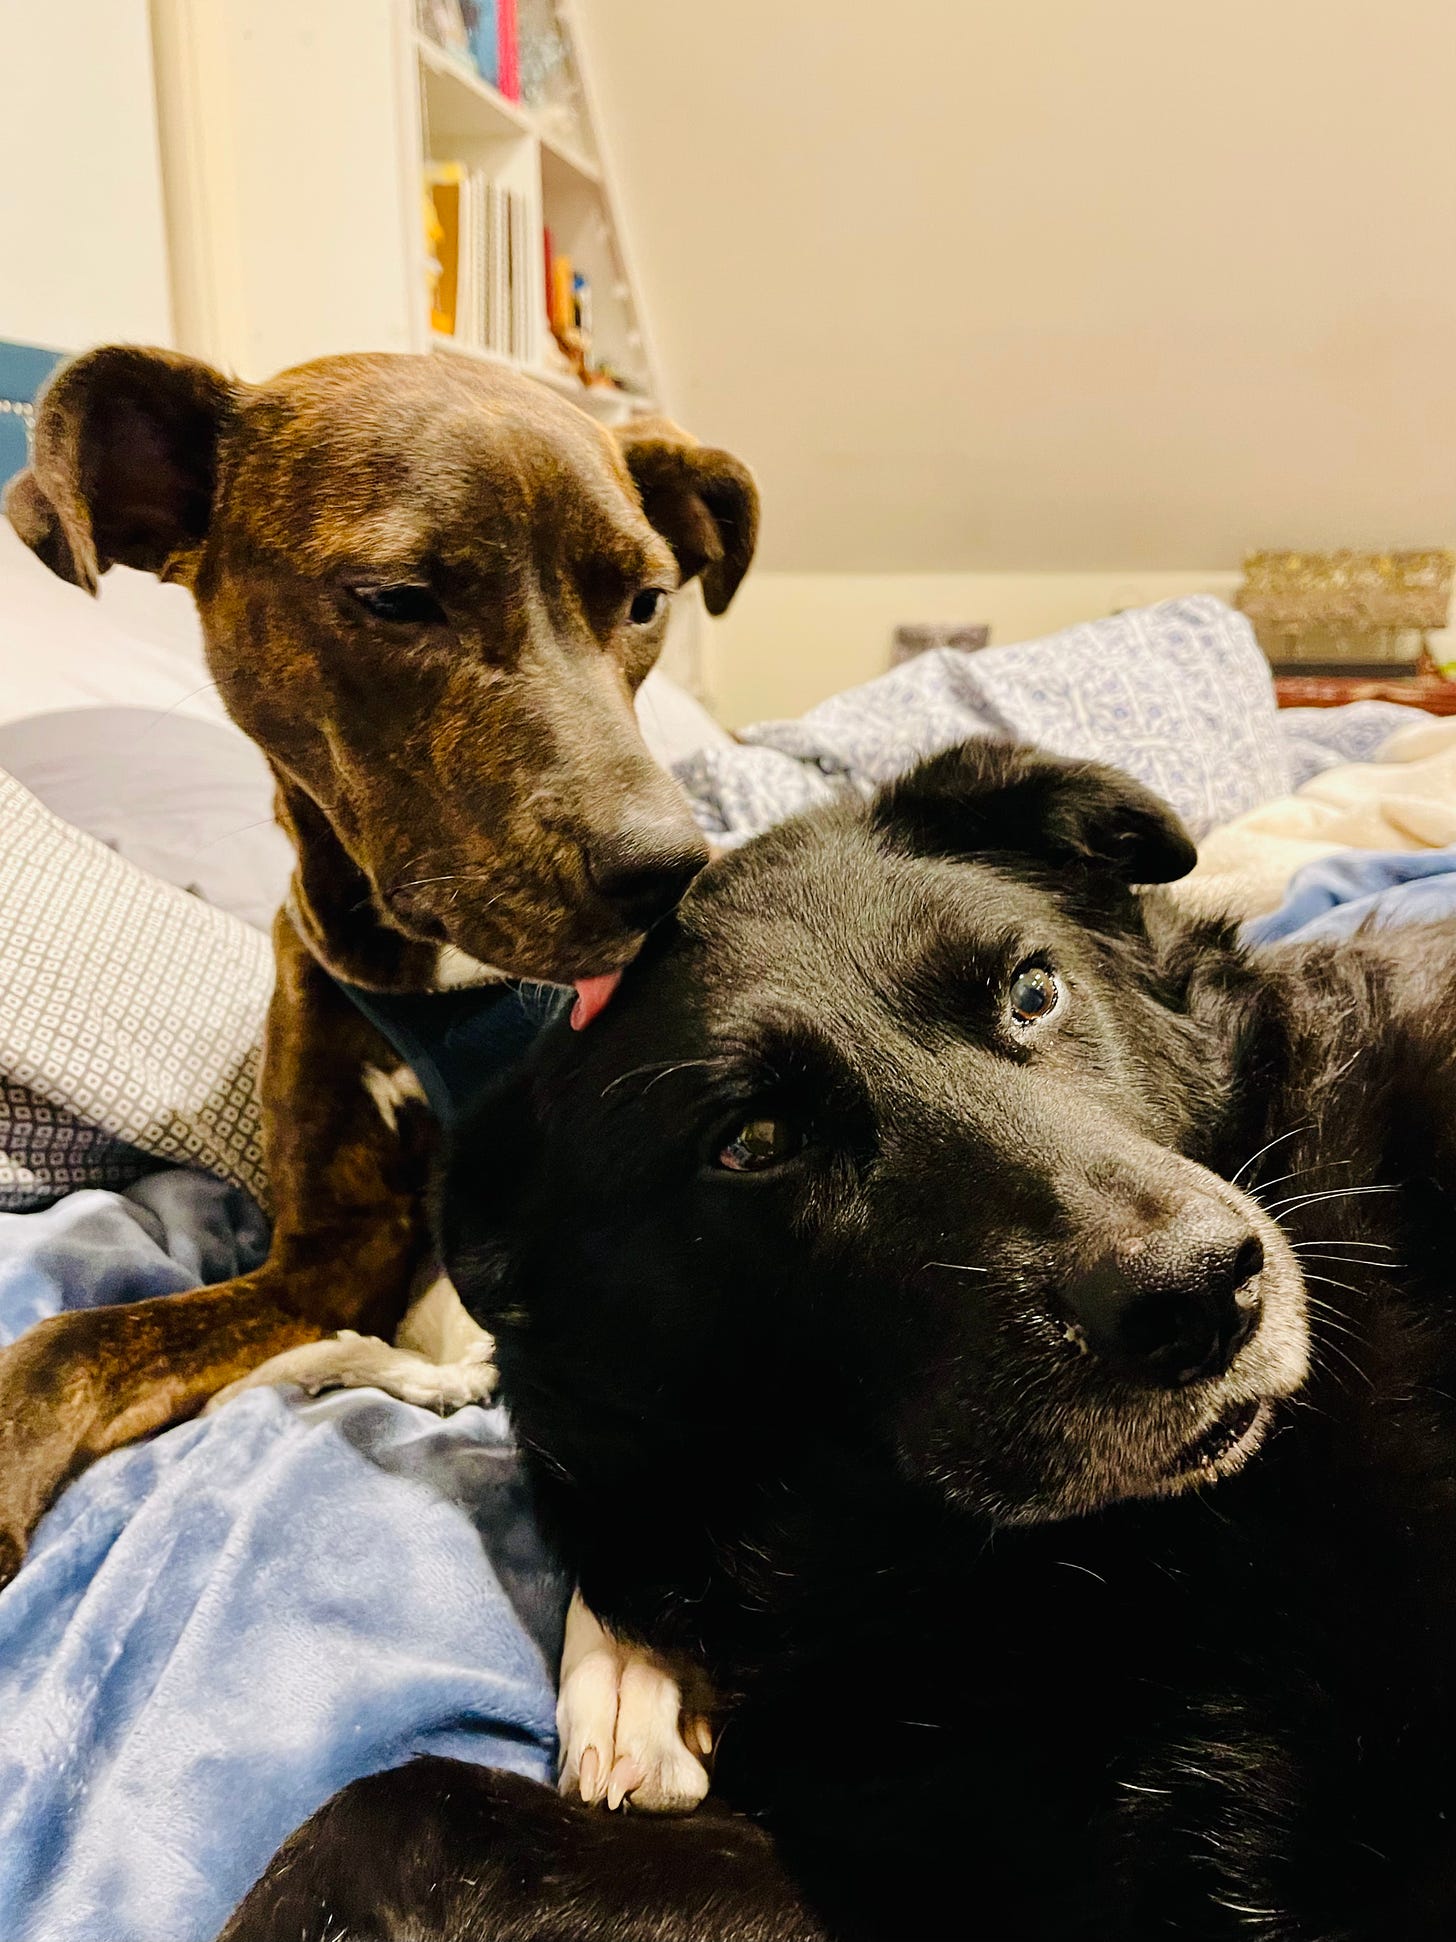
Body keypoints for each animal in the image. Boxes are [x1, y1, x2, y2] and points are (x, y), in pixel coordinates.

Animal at [0, 345, 757, 1592]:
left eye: (645, 600)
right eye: (398, 599)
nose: (668, 873)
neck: (447, 988)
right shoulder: (326, 1262)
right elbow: (83, 1338)